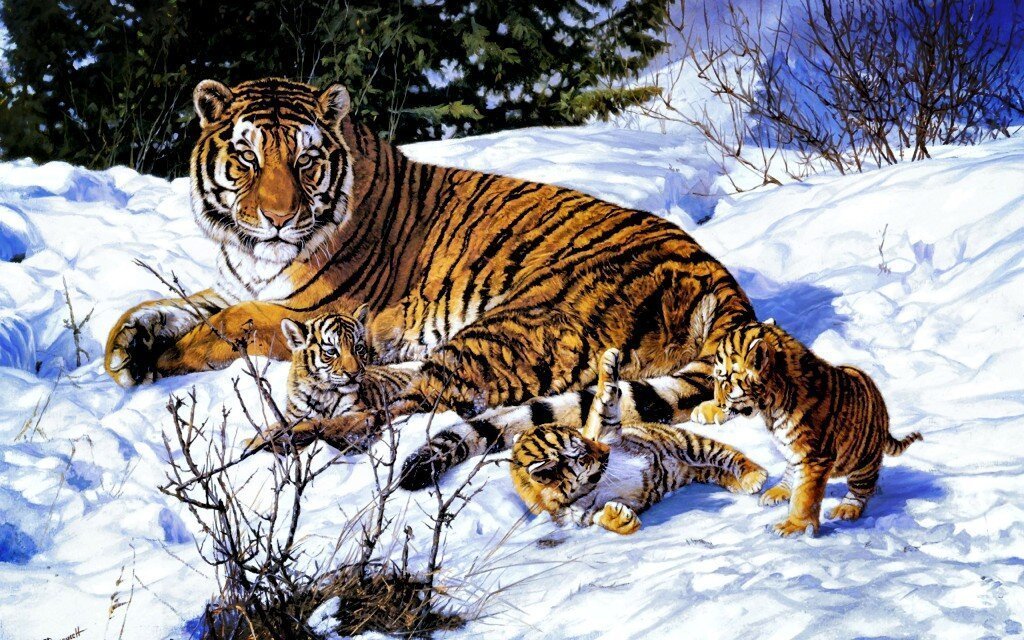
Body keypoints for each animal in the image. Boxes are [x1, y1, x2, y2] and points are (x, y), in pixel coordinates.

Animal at [103, 77, 755, 486]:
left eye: (306, 161)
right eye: (247, 158)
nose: (279, 218)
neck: (254, 255)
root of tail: (719, 281)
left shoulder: (312, 311)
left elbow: (225, 323)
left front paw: (163, 359)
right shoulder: (245, 286)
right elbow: (181, 302)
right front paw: (128, 345)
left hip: (510, 326)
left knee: (397, 411)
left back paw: (277, 439)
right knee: (399, 391)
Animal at [511, 348, 768, 534]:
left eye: (584, 439)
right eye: (582, 456)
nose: (605, 450)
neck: (590, 485)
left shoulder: (606, 430)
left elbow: (601, 403)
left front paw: (608, 360)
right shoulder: (584, 514)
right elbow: (601, 519)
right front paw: (620, 518)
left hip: (689, 444)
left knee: (730, 455)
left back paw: (753, 476)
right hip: (698, 467)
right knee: (719, 468)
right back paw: (743, 483)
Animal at [691, 321, 922, 537]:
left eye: (724, 379)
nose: (718, 402)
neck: (770, 407)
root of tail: (882, 409)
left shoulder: (815, 458)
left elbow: (805, 496)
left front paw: (794, 527)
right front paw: (706, 410)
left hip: (864, 461)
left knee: (862, 489)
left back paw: (846, 509)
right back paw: (776, 492)